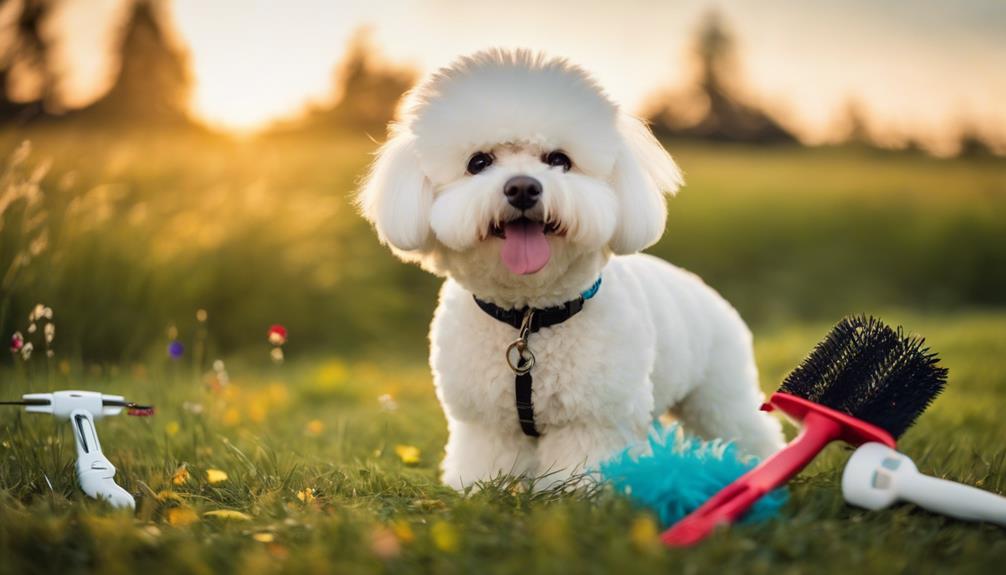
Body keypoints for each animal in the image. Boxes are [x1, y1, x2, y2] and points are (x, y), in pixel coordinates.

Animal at [358, 49, 780, 490]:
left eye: (559, 160)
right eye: (478, 162)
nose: (522, 187)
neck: (528, 318)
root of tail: (702, 287)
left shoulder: (591, 421)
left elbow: (580, 475)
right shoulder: (487, 424)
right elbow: (488, 466)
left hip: (718, 394)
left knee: (748, 430)